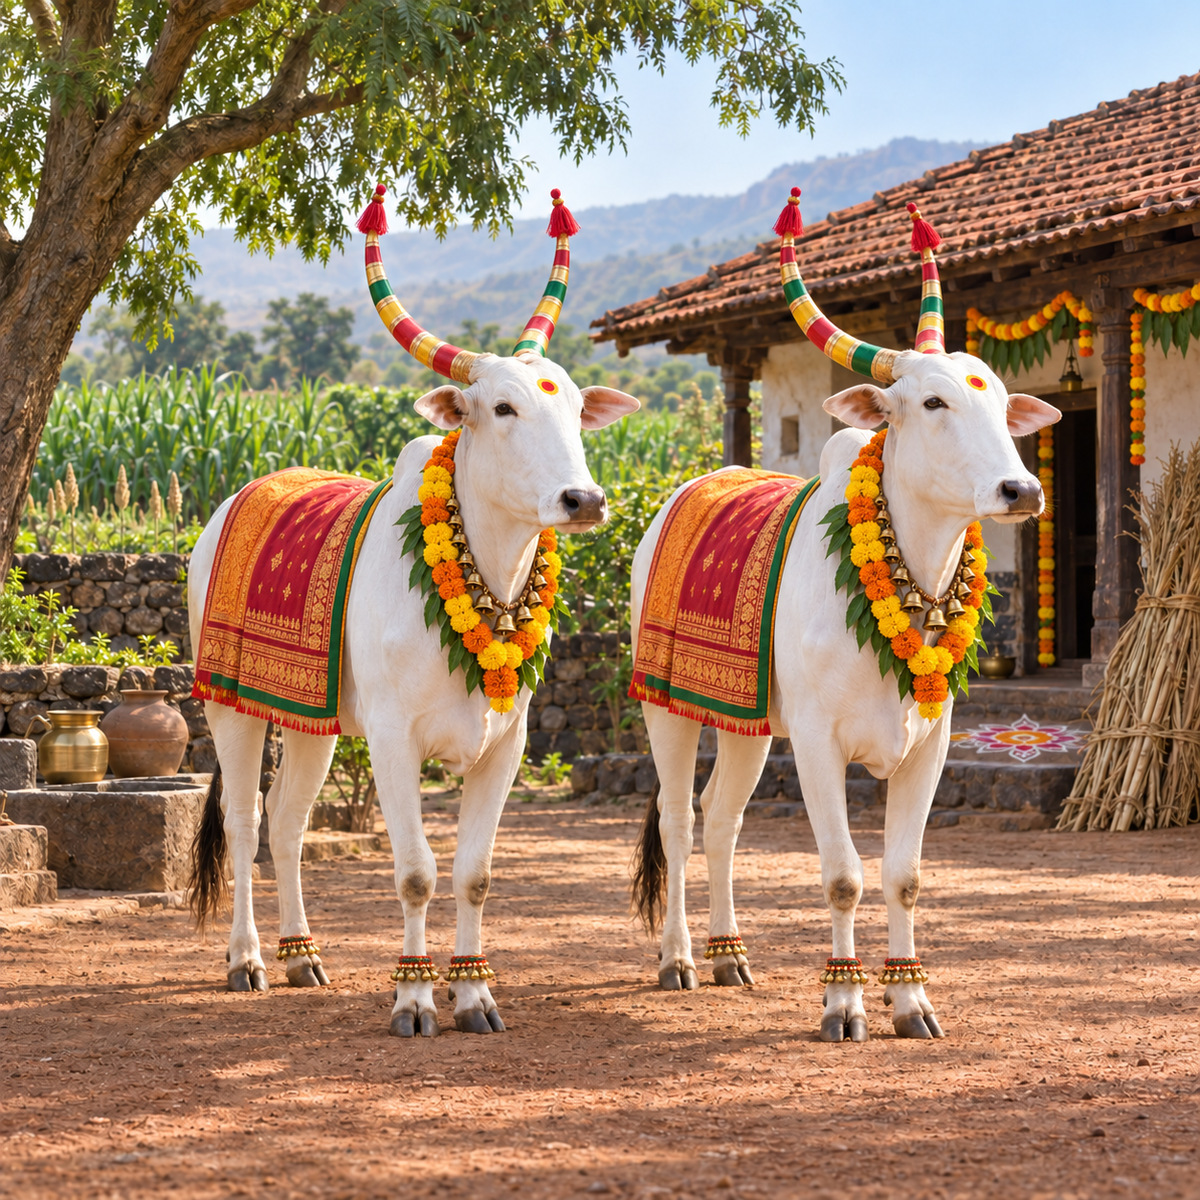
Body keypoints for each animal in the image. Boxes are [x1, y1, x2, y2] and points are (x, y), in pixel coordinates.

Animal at [188, 190, 639, 1036]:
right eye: (502, 407)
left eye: (574, 412)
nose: (584, 500)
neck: (482, 581)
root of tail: (229, 505)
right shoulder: (395, 741)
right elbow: (416, 875)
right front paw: (413, 999)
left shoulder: (506, 744)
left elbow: (473, 875)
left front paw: (476, 996)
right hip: (230, 705)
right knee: (241, 822)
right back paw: (247, 960)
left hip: (312, 721)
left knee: (288, 822)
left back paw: (303, 958)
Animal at [629, 193, 1060, 1041]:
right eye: (932, 401)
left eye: (1001, 404)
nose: (1021, 490)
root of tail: (677, 497)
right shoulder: (820, 746)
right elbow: (842, 878)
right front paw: (842, 1004)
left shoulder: (931, 744)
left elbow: (904, 877)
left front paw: (911, 1001)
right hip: (668, 708)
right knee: (676, 820)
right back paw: (681, 960)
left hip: (749, 725)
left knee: (721, 818)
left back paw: (730, 957)